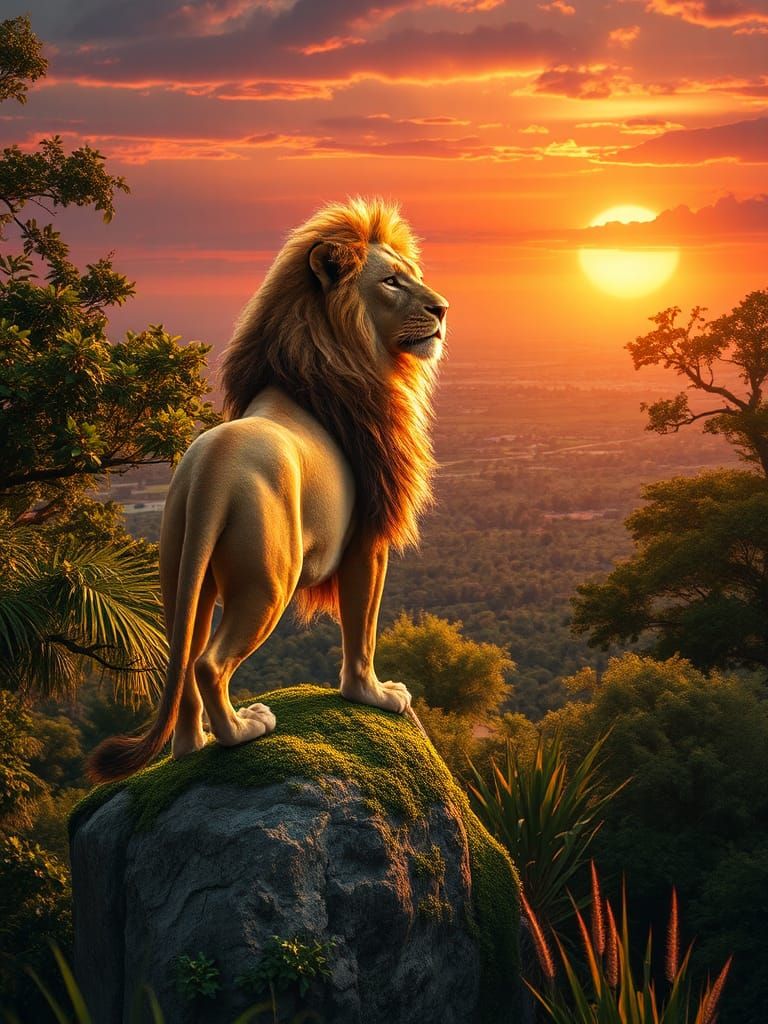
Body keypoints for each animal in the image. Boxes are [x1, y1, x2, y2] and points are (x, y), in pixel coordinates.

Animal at [88, 197, 448, 783]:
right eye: (392, 281)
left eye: (412, 275)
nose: (442, 309)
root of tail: (210, 467)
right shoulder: (366, 542)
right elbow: (362, 629)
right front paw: (372, 695)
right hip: (269, 579)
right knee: (209, 664)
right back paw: (242, 730)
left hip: (181, 571)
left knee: (183, 662)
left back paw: (192, 744)